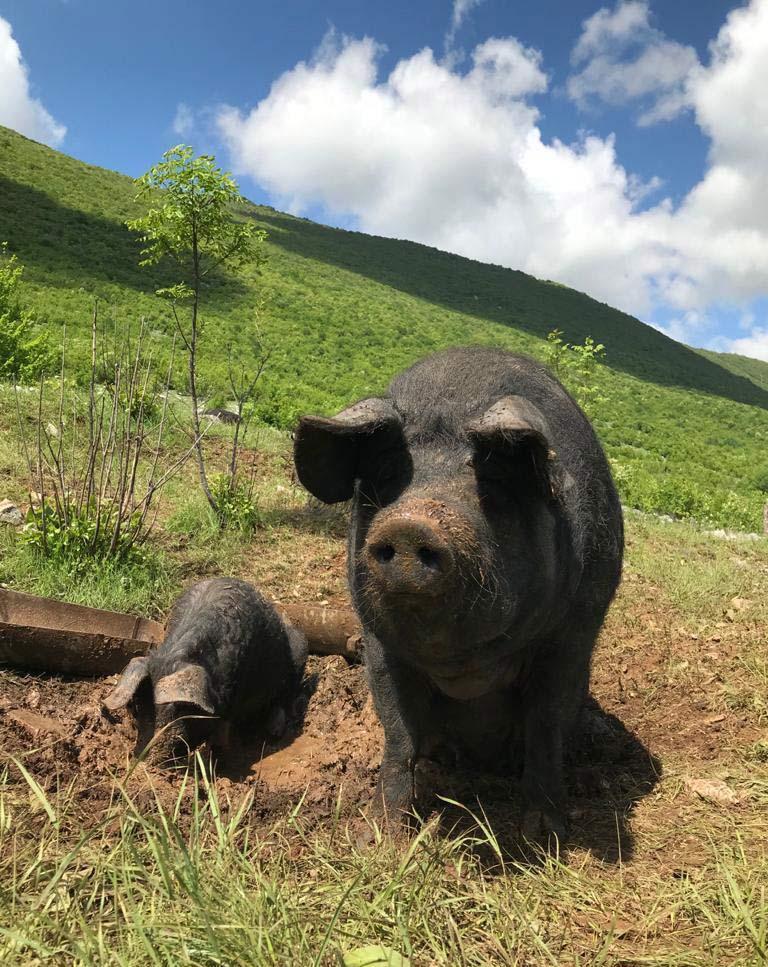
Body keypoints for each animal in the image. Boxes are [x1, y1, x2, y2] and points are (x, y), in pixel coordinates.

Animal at [103, 580, 308, 760]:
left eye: (180, 710)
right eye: (136, 708)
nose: (151, 760)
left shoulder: (233, 697)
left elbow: (220, 736)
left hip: (299, 649)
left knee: (285, 696)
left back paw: (274, 732)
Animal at [294, 346, 624, 840]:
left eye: (491, 482)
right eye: (387, 474)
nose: (410, 523)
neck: (466, 665)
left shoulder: (577, 626)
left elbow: (546, 723)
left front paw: (544, 837)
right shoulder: (378, 641)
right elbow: (398, 732)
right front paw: (379, 834)